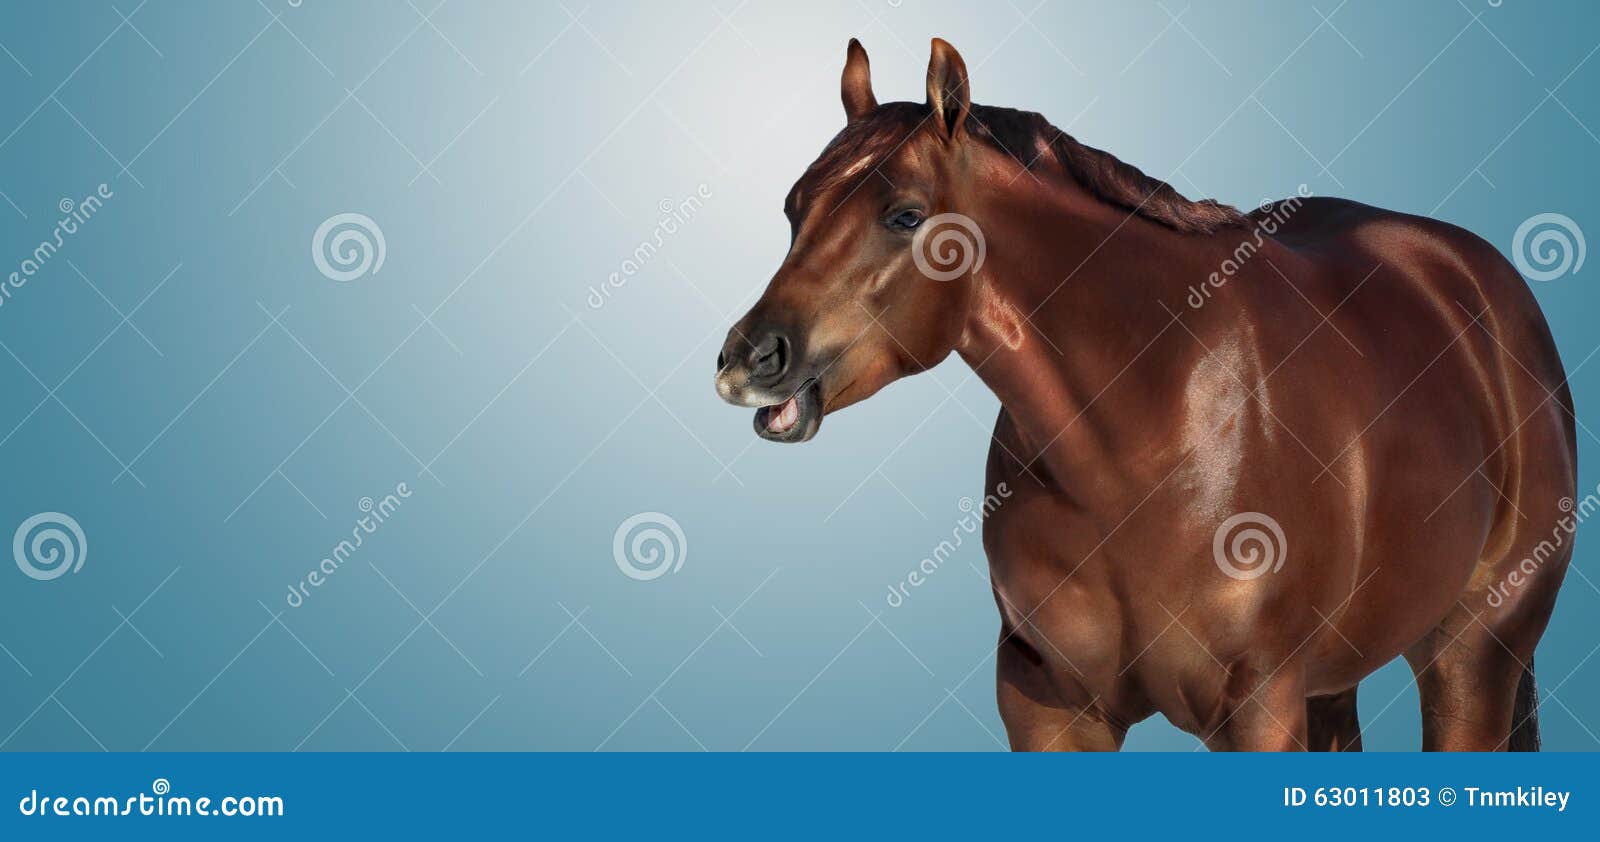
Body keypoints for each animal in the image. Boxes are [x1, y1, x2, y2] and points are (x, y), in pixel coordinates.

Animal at [714, 38, 1576, 751]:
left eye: (904, 215)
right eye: (794, 208)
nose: (748, 359)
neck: (1151, 421)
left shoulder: (1257, 707)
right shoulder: (1048, 706)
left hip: (1472, 653)